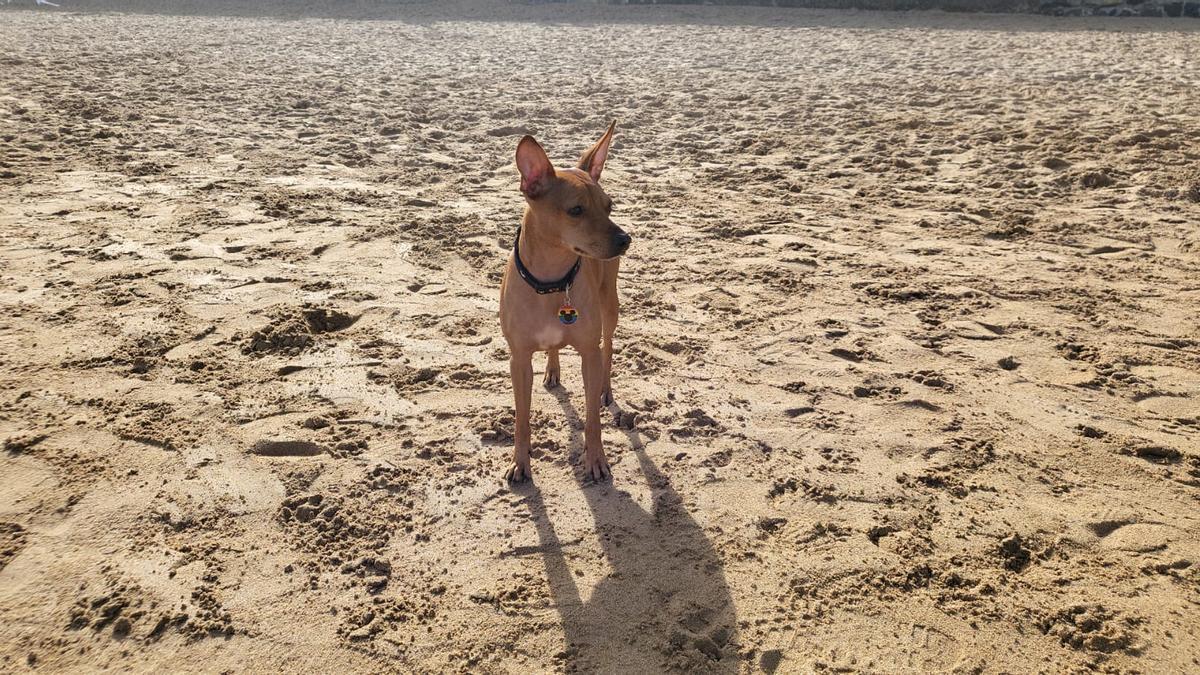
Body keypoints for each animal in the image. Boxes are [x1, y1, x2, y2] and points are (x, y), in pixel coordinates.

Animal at [496, 119, 633, 478]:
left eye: (609, 206)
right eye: (576, 210)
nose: (625, 239)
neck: (553, 282)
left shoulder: (588, 352)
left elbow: (592, 419)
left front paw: (596, 459)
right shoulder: (518, 359)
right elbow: (521, 420)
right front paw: (520, 462)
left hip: (610, 306)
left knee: (608, 347)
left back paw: (606, 389)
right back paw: (553, 369)